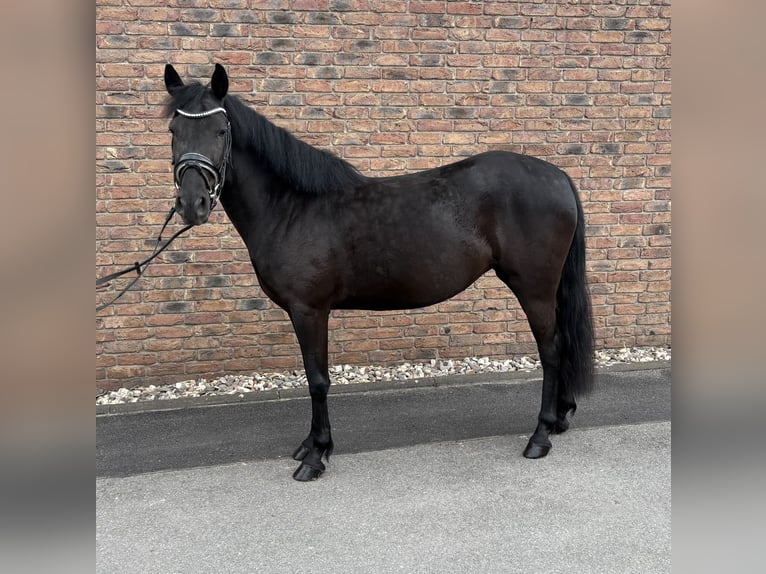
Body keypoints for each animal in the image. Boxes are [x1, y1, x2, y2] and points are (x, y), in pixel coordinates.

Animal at [163, 63, 594, 481]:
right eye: (173, 131)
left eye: (220, 131)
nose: (192, 204)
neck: (292, 207)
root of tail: (558, 176)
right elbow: (314, 378)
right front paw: (310, 445)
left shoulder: (309, 311)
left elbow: (317, 380)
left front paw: (316, 456)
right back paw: (559, 419)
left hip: (534, 288)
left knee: (551, 350)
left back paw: (540, 436)